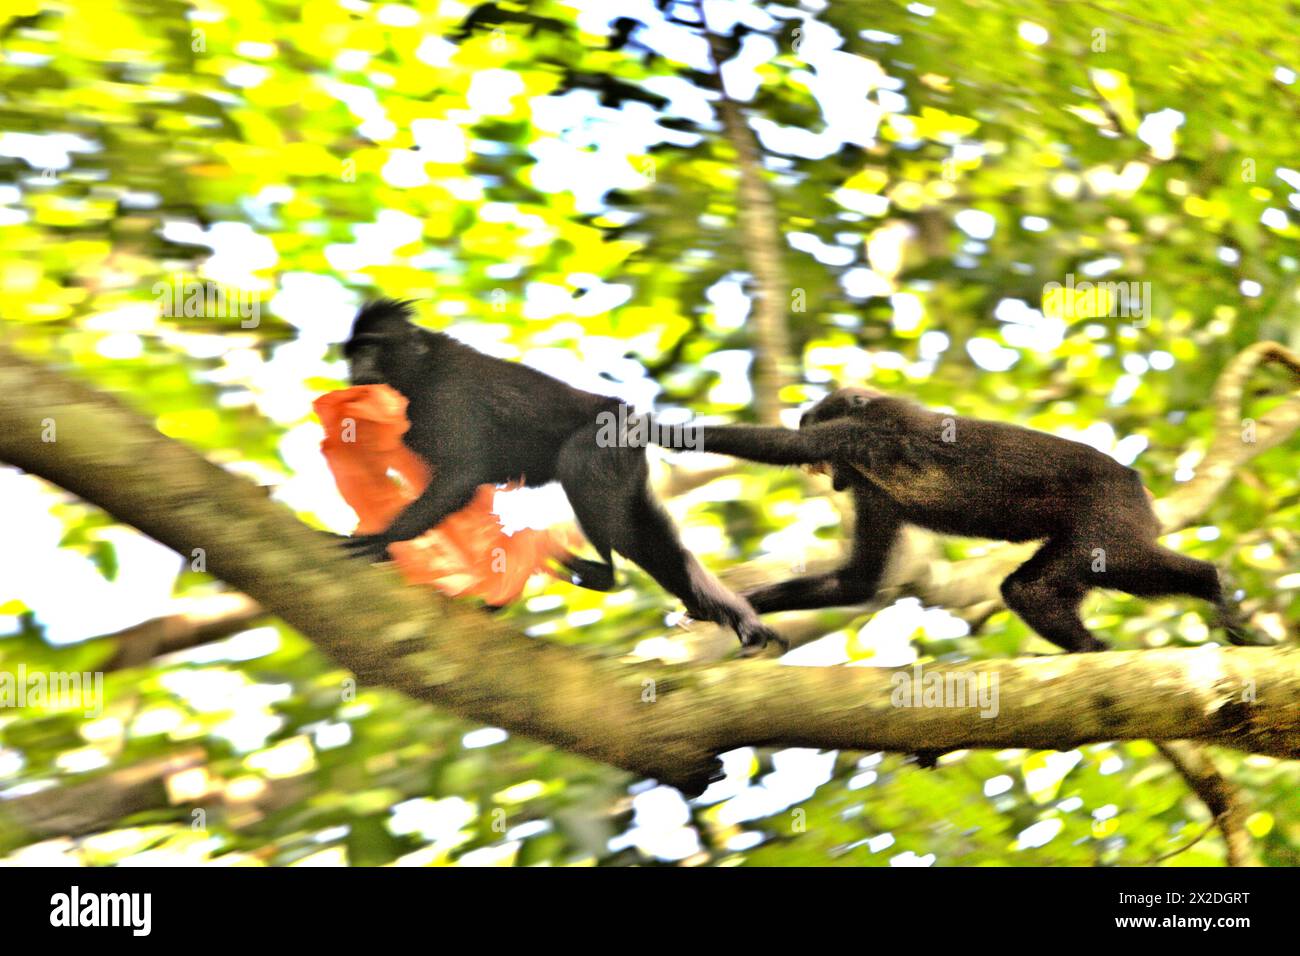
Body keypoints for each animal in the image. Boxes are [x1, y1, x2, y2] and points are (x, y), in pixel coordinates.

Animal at [338, 299, 784, 652]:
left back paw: (597, 572)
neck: (420, 367)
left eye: (370, 348)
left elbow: (462, 475)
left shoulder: (446, 396)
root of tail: (632, 418)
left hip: (603, 444)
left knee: (586, 481)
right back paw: (732, 615)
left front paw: (382, 541)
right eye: (352, 354)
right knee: (649, 537)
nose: (356, 369)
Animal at [658, 386, 1265, 653]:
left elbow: (778, 445)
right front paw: (732, 608)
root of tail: (1132, 480)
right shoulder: (873, 492)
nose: (831, 484)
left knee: (1088, 571)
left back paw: (1205, 590)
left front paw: (654, 429)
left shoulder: (858, 437)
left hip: (1108, 515)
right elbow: (860, 580)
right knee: (1038, 586)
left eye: (823, 464)